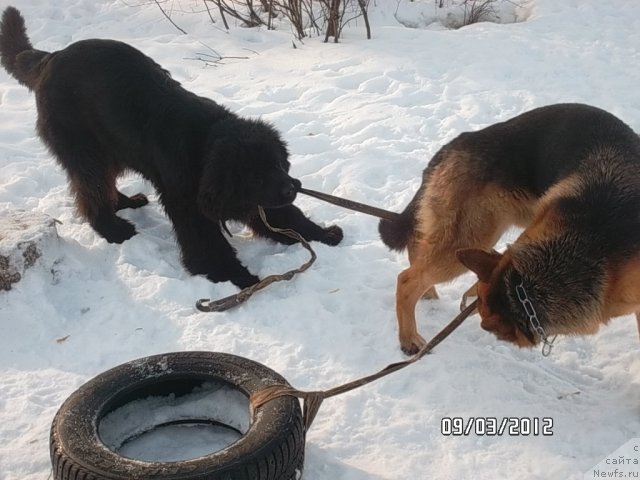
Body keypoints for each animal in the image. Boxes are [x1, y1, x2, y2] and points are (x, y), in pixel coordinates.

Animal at [0, 7, 344, 286]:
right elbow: (207, 242)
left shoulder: (257, 198)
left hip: (110, 148)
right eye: (255, 176)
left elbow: (286, 216)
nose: (292, 188)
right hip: (84, 149)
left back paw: (125, 202)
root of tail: (51, 57)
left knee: (101, 184)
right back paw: (113, 229)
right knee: (91, 189)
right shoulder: (189, 204)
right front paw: (235, 277)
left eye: (278, 164)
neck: (204, 144)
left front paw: (321, 234)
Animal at [380, 103, 640, 354]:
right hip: (471, 238)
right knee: (406, 279)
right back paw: (409, 338)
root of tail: (454, 145)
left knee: (417, 247)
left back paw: (427, 294)